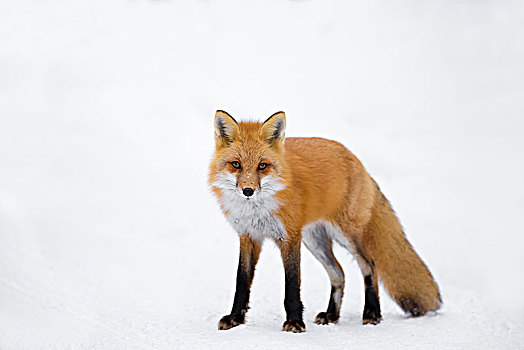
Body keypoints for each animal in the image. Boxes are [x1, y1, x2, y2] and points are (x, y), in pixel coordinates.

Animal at [207, 110, 440, 332]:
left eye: (262, 166)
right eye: (236, 164)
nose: (248, 190)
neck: (256, 211)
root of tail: (356, 161)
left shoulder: (289, 237)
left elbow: (292, 285)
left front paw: (294, 323)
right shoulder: (248, 236)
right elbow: (241, 283)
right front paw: (235, 319)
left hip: (346, 236)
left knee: (369, 265)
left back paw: (372, 313)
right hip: (315, 241)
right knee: (339, 274)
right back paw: (331, 315)